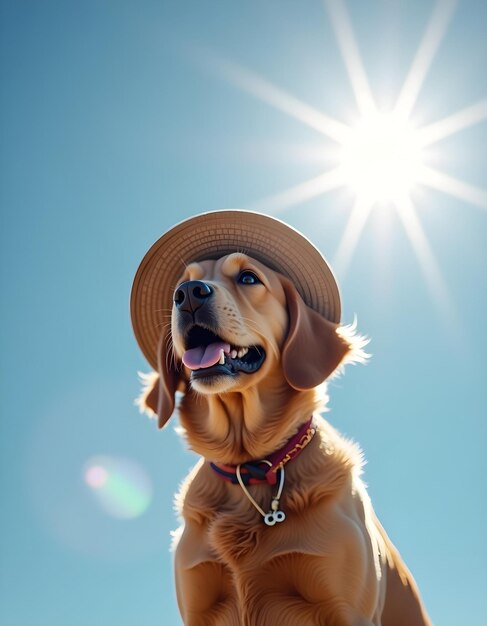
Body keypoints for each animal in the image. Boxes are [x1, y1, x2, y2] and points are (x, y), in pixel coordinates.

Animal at [132, 211, 432, 624]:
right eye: (180, 285)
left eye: (248, 278)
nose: (189, 293)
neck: (250, 465)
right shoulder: (198, 606)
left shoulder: (346, 609)